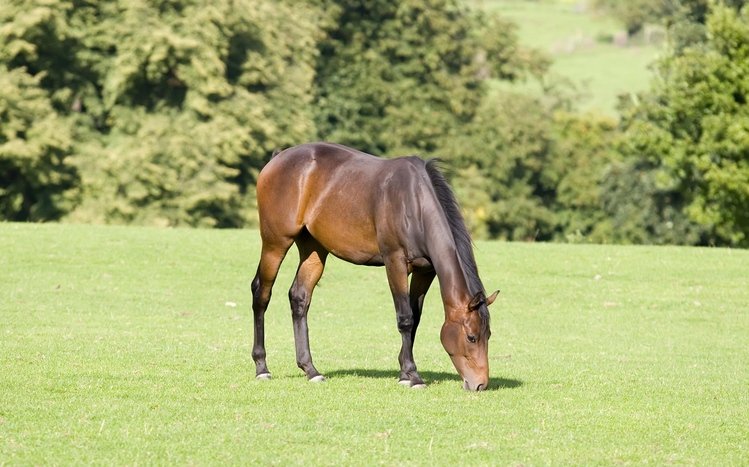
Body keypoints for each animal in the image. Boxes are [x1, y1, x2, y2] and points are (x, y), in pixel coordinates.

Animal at [250, 142, 499, 391]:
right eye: (471, 337)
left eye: (488, 335)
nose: (480, 384)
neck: (414, 203)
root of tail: (277, 159)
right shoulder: (395, 262)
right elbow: (405, 318)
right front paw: (413, 375)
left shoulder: (424, 271)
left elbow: (415, 318)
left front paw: (404, 372)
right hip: (275, 243)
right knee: (261, 293)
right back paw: (262, 367)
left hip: (314, 251)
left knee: (299, 298)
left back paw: (310, 370)